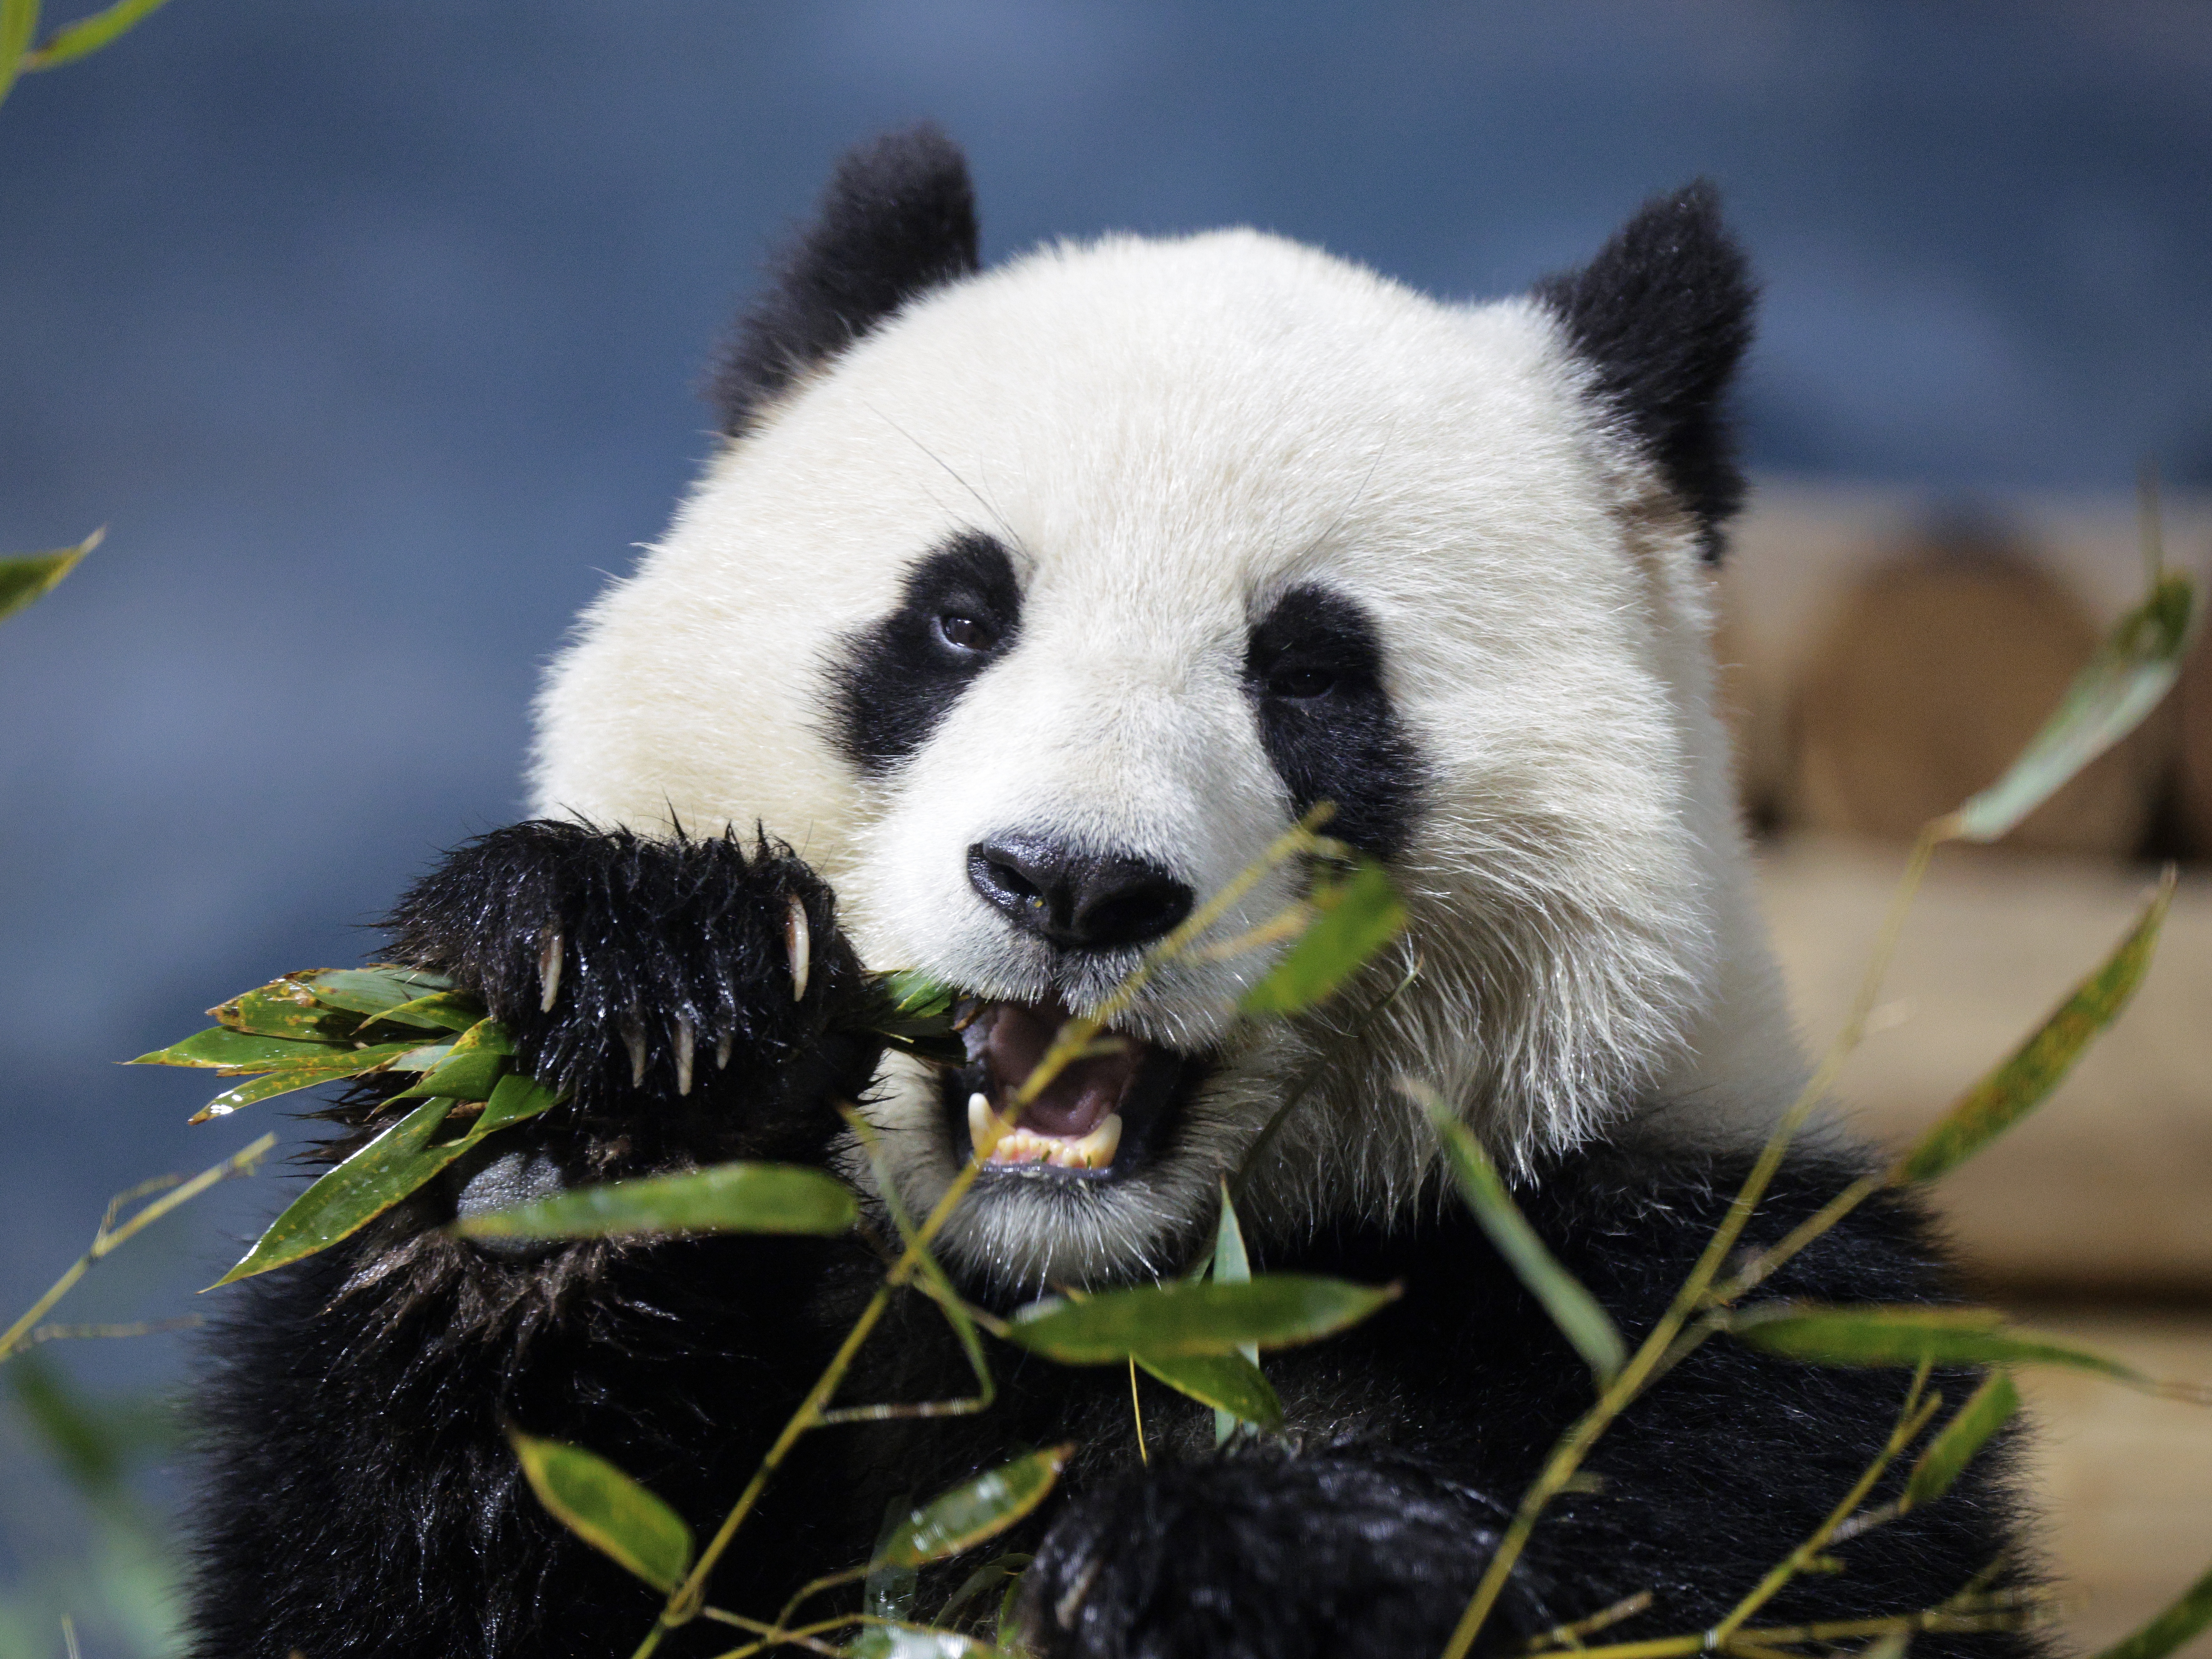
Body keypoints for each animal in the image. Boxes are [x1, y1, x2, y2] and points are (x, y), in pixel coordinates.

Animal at [188, 127, 2034, 1659]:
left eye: (1310, 673)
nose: (1071, 885)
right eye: (955, 619)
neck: (1082, 1295)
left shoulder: (1710, 1311)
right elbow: (426, 1544)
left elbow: (1734, 1557)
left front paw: (1233, 1570)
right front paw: (620, 1067)